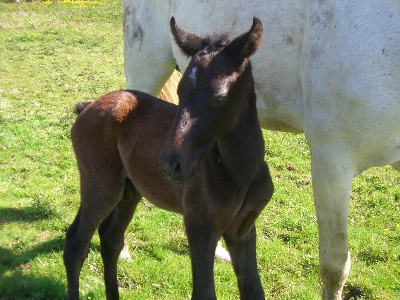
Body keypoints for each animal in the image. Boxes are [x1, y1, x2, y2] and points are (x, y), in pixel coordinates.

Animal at [64, 17, 274, 298]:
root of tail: (87, 106)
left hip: (130, 190)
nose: (170, 164)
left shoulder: (243, 229)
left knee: (110, 239)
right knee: (76, 243)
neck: (241, 173)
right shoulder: (199, 226)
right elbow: (204, 292)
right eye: (180, 89)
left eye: (219, 97)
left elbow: (254, 290)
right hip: (101, 187)